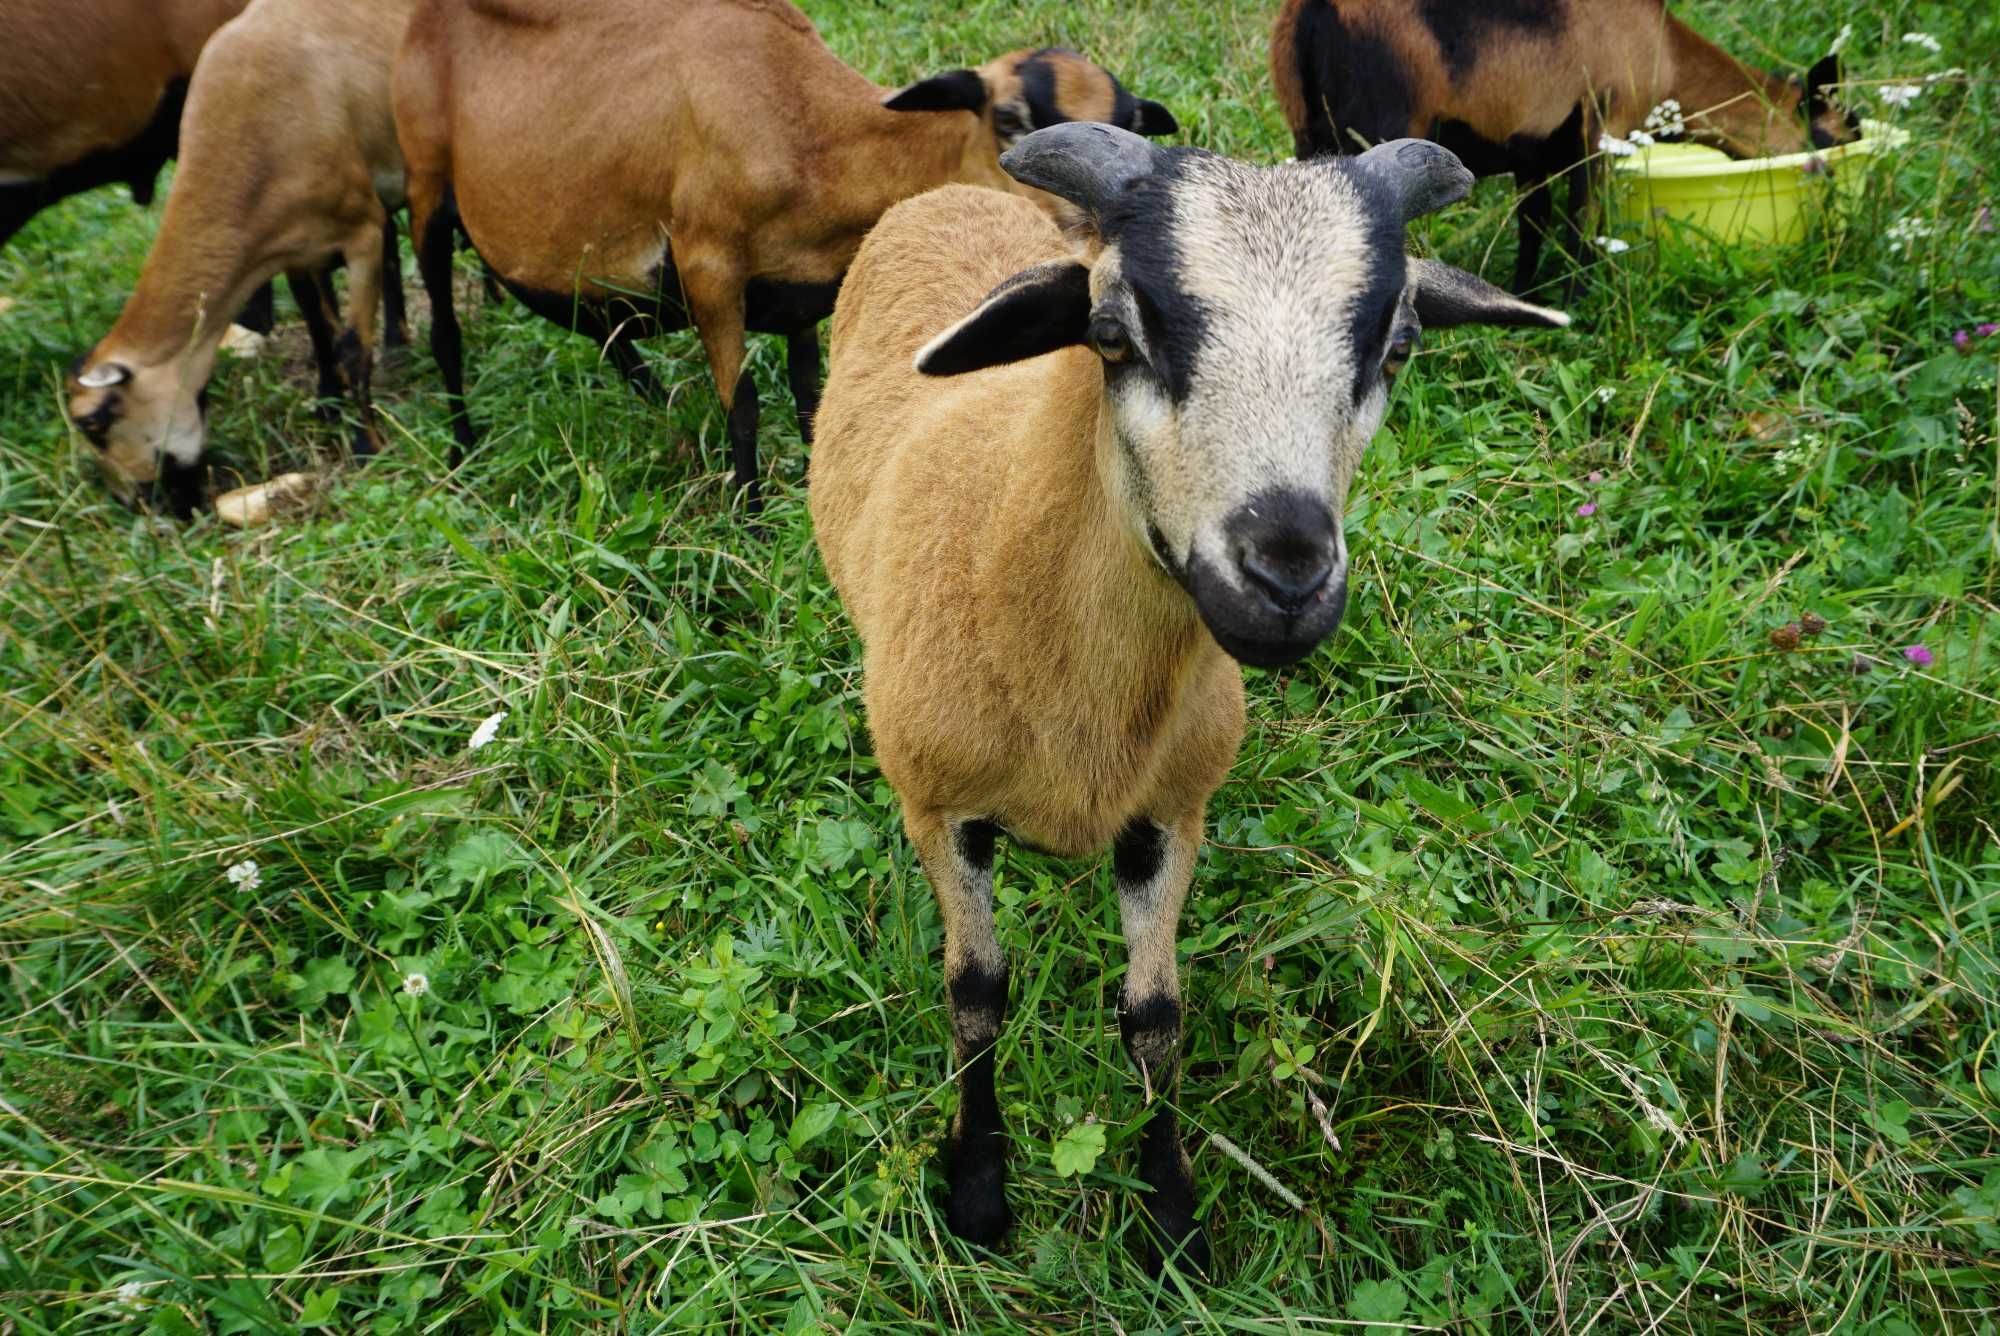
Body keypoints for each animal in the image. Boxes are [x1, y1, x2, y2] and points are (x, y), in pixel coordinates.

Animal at [66, 0, 418, 520]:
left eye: (96, 424)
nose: (143, 507)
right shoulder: (296, 249)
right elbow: (321, 329)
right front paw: (327, 407)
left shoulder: (361, 233)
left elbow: (353, 350)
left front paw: (366, 446)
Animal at [388, 0, 1168, 506]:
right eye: (1008, 119)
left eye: (1131, 129)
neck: (810, 131)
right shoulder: (706, 267)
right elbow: (744, 404)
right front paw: (751, 519)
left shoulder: (800, 288)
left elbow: (806, 391)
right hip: (426, 184)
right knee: (447, 330)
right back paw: (461, 449)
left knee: (599, 324)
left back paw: (656, 400)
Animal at [804, 125, 1568, 1272]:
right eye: (1111, 334)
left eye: (1396, 346)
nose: (1286, 577)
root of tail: (945, 191)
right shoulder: (945, 809)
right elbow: (975, 997)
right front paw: (978, 1192)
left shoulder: (1169, 815)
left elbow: (1155, 1014)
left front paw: (1169, 1215)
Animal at [1272, 0, 1848, 292]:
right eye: (1838, 130)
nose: (1839, 205)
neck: (1669, 55)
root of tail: (1311, 15)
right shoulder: (1601, 131)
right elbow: (1582, 226)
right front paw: (1578, 304)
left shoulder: (1533, 149)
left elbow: (1535, 224)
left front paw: (1524, 294)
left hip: (1310, 134)